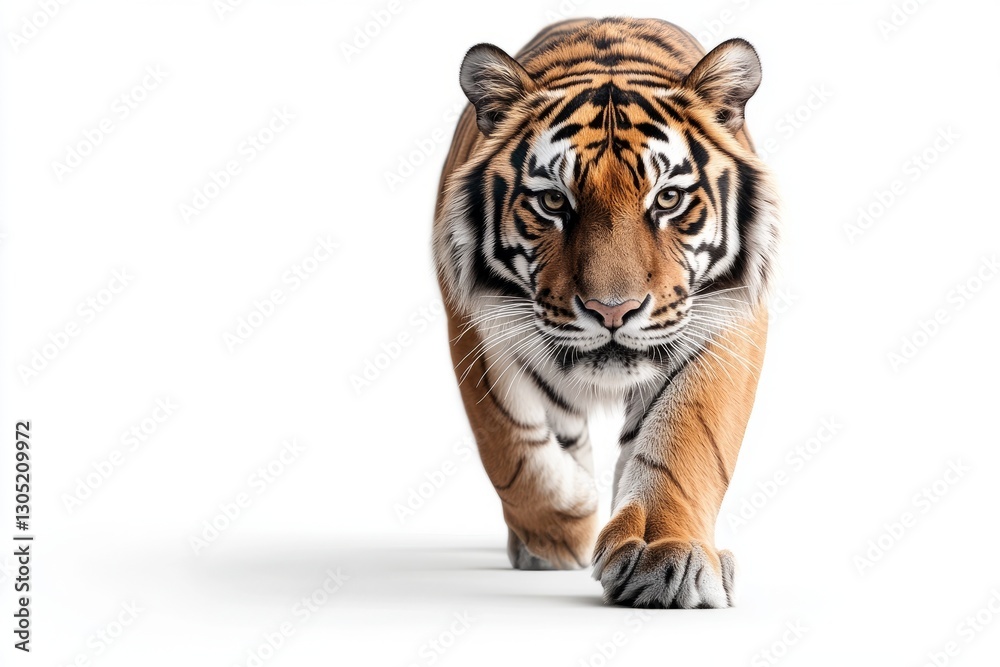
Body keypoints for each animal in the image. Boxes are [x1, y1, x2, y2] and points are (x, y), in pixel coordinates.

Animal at [432, 17, 779, 608]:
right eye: (553, 202)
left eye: (667, 200)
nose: (611, 310)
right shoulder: (473, 322)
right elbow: (511, 447)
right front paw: (562, 530)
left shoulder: (729, 317)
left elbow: (684, 439)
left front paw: (668, 555)